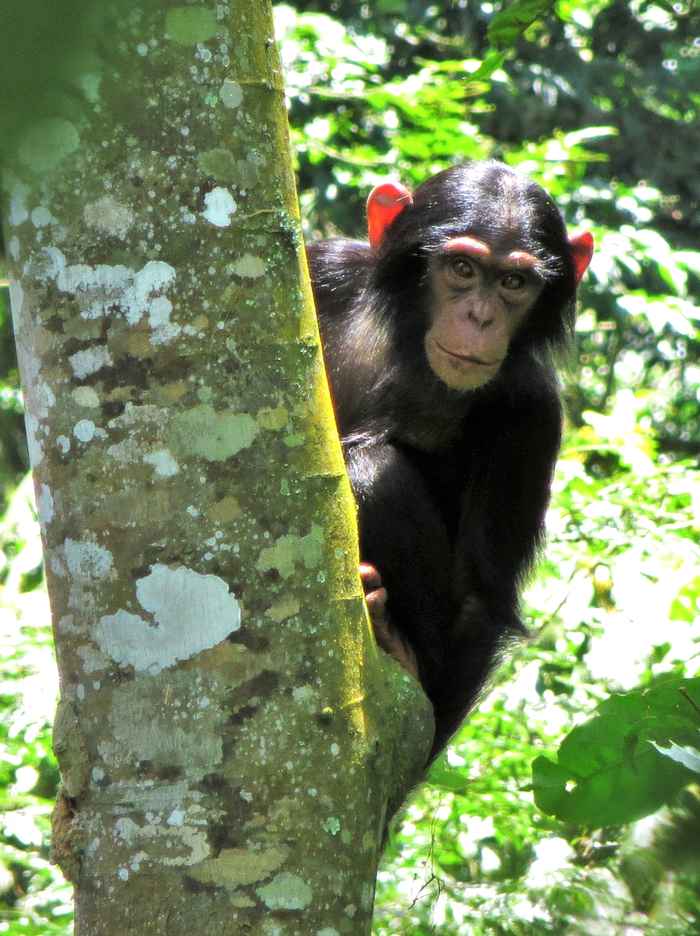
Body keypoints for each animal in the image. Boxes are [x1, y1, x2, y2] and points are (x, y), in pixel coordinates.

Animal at [306, 163, 592, 760]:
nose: (480, 317)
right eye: (462, 268)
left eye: (514, 283)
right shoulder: (324, 269)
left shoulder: (533, 413)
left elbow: (479, 599)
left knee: (372, 472)